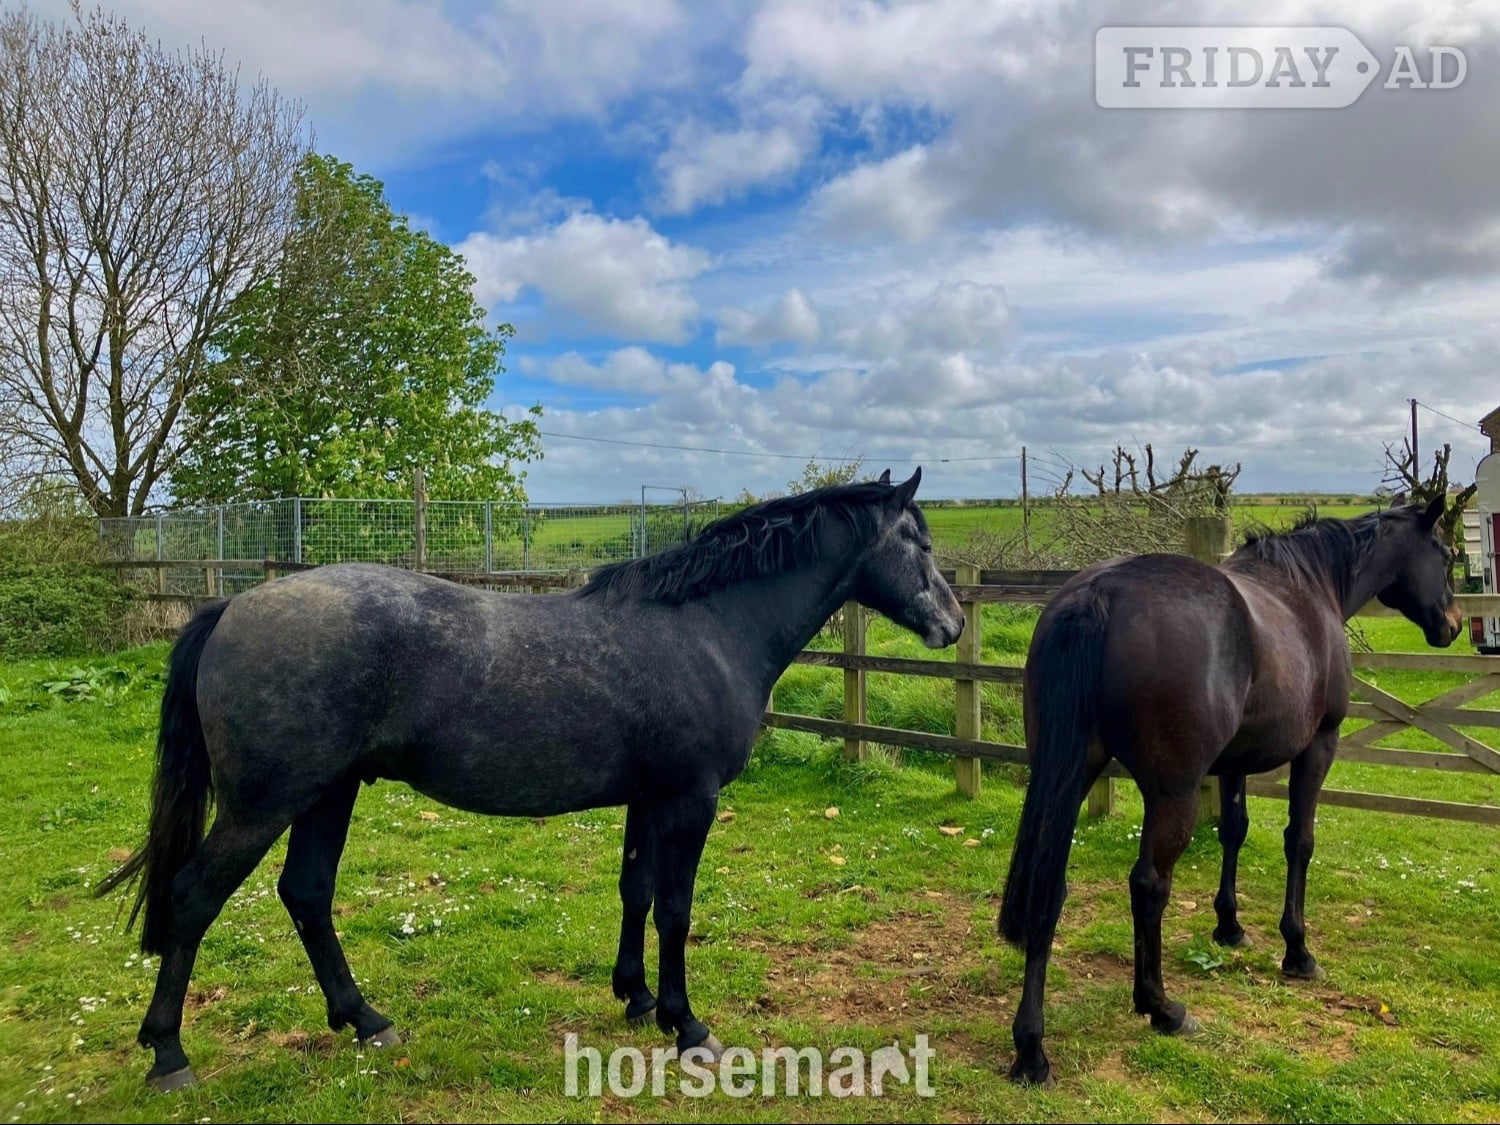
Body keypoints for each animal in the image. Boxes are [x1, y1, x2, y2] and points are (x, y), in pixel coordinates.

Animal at [98, 468, 964, 1091]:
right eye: (918, 540)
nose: (953, 622)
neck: (706, 627)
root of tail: (233, 607)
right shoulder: (689, 800)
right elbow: (676, 910)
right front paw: (687, 1025)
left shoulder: (647, 799)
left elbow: (636, 893)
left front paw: (635, 997)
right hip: (261, 804)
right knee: (194, 897)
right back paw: (169, 1054)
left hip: (325, 793)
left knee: (305, 894)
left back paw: (366, 1018)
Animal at [998, 497, 1462, 1086]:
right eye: (1445, 553)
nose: (1452, 625)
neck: (1309, 587)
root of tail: (1097, 594)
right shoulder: (1319, 747)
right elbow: (1299, 842)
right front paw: (1297, 950)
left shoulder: (1235, 762)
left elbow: (1234, 832)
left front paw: (1229, 925)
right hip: (1172, 794)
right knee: (1148, 886)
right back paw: (1161, 1008)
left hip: (1071, 773)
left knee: (1049, 889)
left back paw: (1031, 1049)